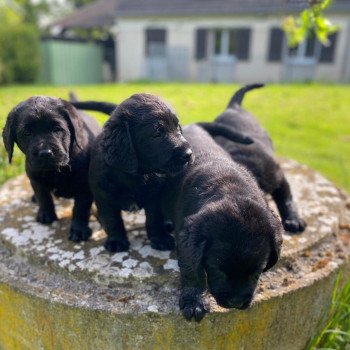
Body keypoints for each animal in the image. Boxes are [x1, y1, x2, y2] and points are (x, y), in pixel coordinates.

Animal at [2, 96, 100, 243]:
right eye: (27, 133)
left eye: (57, 128)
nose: (45, 153)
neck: (55, 171)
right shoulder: (35, 178)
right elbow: (43, 197)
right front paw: (46, 215)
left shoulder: (84, 187)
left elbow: (81, 208)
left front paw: (79, 230)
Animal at [160, 126, 284, 322]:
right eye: (217, 270)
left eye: (256, 273)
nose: (236, 302)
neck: (229, 188)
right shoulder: (188, 241)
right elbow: (192, 270)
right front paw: (194, 300)